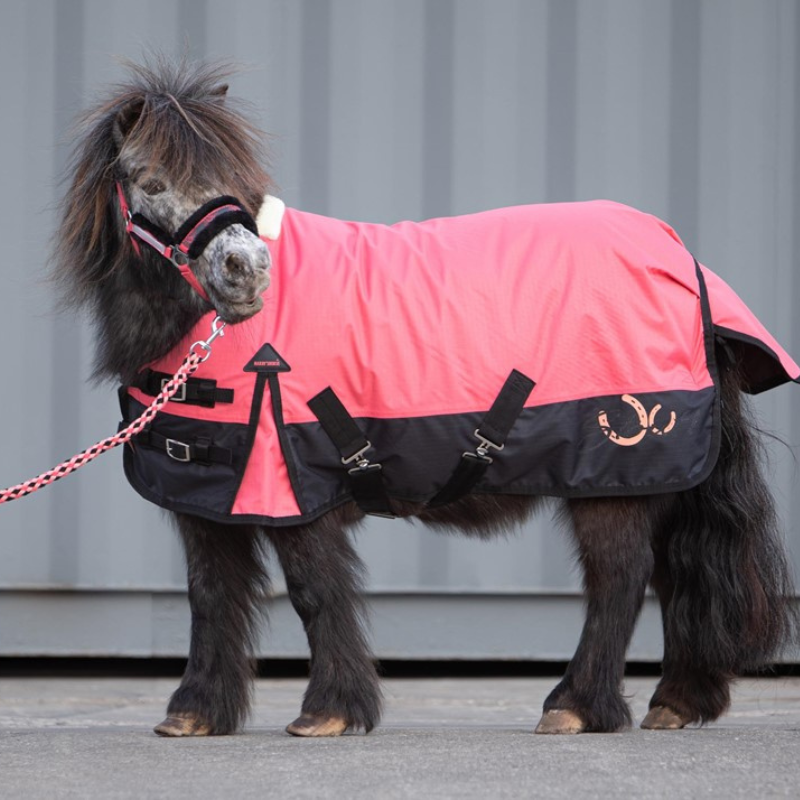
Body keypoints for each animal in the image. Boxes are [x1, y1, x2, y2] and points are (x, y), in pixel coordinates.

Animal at [53, 58, 798, 738]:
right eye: (151, 181)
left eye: (236, 180)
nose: (248, 272)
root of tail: (681, 259)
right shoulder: (206, 493)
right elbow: (210, 595)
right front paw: (196, 712)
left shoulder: (296, 484)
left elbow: (313, 591)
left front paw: (329, 711)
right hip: (659, 476)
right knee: (675, 571)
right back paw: (676, 701)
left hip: (615, 477)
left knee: (621, 577)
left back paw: (578, 707)